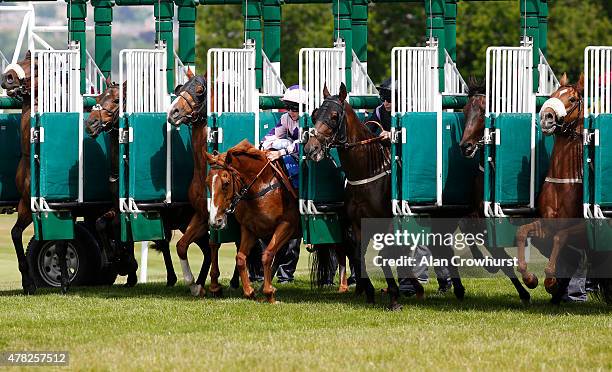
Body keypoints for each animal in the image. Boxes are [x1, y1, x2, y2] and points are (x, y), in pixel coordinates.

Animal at [1, 50, 69, 294]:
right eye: (22, 61)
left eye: (37, 67)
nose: (7, 78)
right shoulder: (24, 203)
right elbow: (15, 234)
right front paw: (28, 282)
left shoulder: (57, 205)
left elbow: (60, 243)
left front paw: (64, 280)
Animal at [206, 141, 302, 304]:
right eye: (207, 183)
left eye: (226, 183)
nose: (215, 221)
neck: (263, 188)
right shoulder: (249, 228)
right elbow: (240, 258)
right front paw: (250, 291)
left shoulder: (287, 225)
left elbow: (267, 254)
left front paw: (269, 293)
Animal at [302, 84, 436, 310]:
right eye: (315, 114)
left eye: (334, 116)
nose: (311, 148)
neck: (366, 173)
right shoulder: (357, 223)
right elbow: (358, 255)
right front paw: (370, 291)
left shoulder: (388, 222)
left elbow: (385, 256)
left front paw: (394, 296)